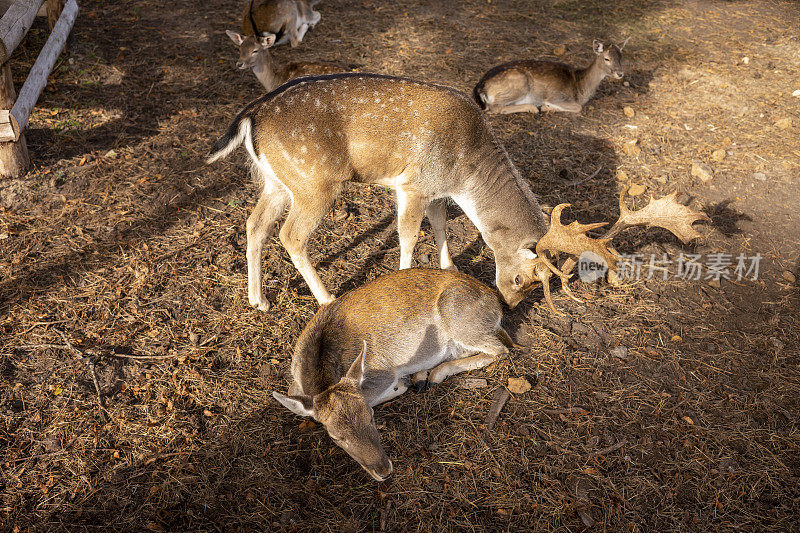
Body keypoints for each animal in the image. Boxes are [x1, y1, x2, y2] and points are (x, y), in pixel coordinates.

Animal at [208, 71, 708, 312]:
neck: (467, 168)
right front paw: (406, 281)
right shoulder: (414, 182)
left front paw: (449, 265)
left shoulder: (435, 190)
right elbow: (409, 235)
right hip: (315, 180)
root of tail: (251, 116)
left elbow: (440, 224)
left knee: (253, 225)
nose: (509, 306)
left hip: (277, 180)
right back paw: (327, 298)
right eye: (525, 279)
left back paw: (258, 299)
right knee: (290, 235)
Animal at [272, 268, 516, 480]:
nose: (384, 470)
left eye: (371, 417)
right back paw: (422, 375)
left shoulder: (383, 371)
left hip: (460, 319)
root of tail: (496, 304)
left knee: (500, 349)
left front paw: (402, 384)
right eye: (335, 436)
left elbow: (377, 391)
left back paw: (431, 375)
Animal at [472, 39, 628, 114]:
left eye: (621, 58)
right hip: (518, 83)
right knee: (495, 108)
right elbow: (578, 107)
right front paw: (547, 106)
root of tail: (480, 88)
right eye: (607, 58)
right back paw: (534, 108)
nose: (620, 73)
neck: (580, 87)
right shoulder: (557, 96)